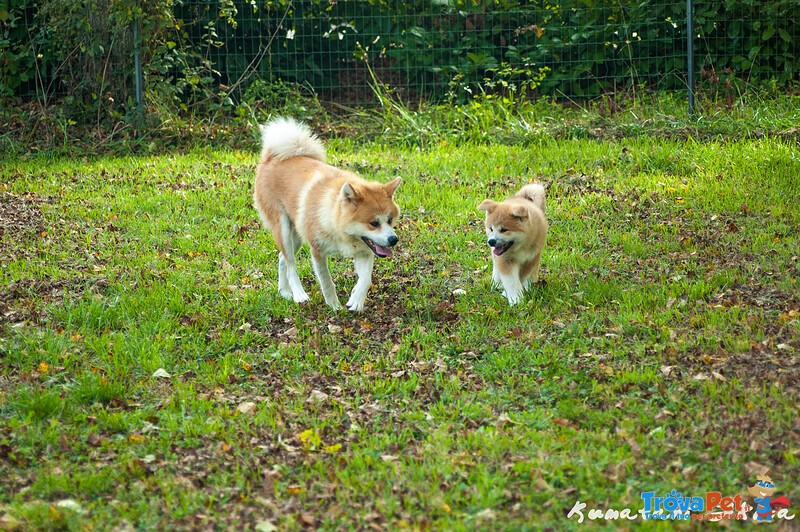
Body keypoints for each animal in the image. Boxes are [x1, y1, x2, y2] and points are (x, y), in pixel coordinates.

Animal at [253, 116, 400, 312]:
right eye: (374, 223)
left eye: (390, 220)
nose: (393, 240)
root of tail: (271, 158)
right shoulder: (317, 252)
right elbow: (327, 282)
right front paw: (334, 306)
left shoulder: (364, 251)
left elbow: (366, 279)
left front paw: (356, 299)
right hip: (283, 229)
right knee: (291, 265)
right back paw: (299, 294)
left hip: (297, 234)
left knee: (282, 258)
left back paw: (284, 291)